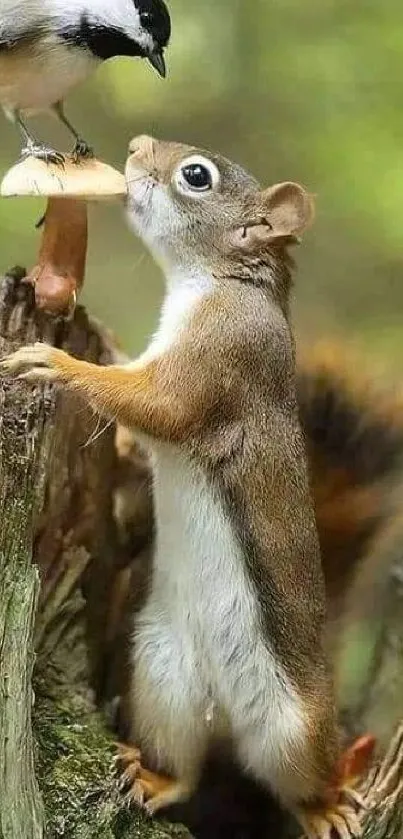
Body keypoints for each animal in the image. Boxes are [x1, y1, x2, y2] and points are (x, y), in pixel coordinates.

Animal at [0, 135, 370, 836]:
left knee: (300, 782)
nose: (136, 146)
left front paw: (57, 362)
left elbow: (157, 406)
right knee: (186, 767)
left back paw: (330, 805)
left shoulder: (221, 357)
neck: (219, 282)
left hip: (297, 727)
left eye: (196, 177)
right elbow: (135, 415)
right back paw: (154, 779)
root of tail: (224, 715)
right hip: (161, 678)